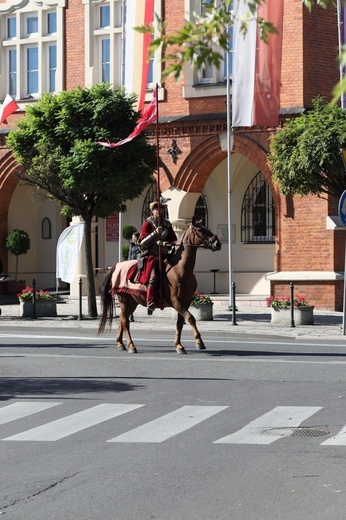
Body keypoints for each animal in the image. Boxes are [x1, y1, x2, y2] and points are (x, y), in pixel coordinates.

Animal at [97, 217, 222, 356]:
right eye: (200, 229)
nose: (217, 243)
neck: (180, 269)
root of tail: (116, 265)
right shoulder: (176, 302)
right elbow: (191, 318)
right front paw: (199, 342)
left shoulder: (186, 301)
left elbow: (180, 323)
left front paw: (179, 345)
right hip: (124, 300)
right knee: (125, 322)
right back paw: (131, 346)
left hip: (132, 302)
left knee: (122, 320)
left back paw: (120, 344)